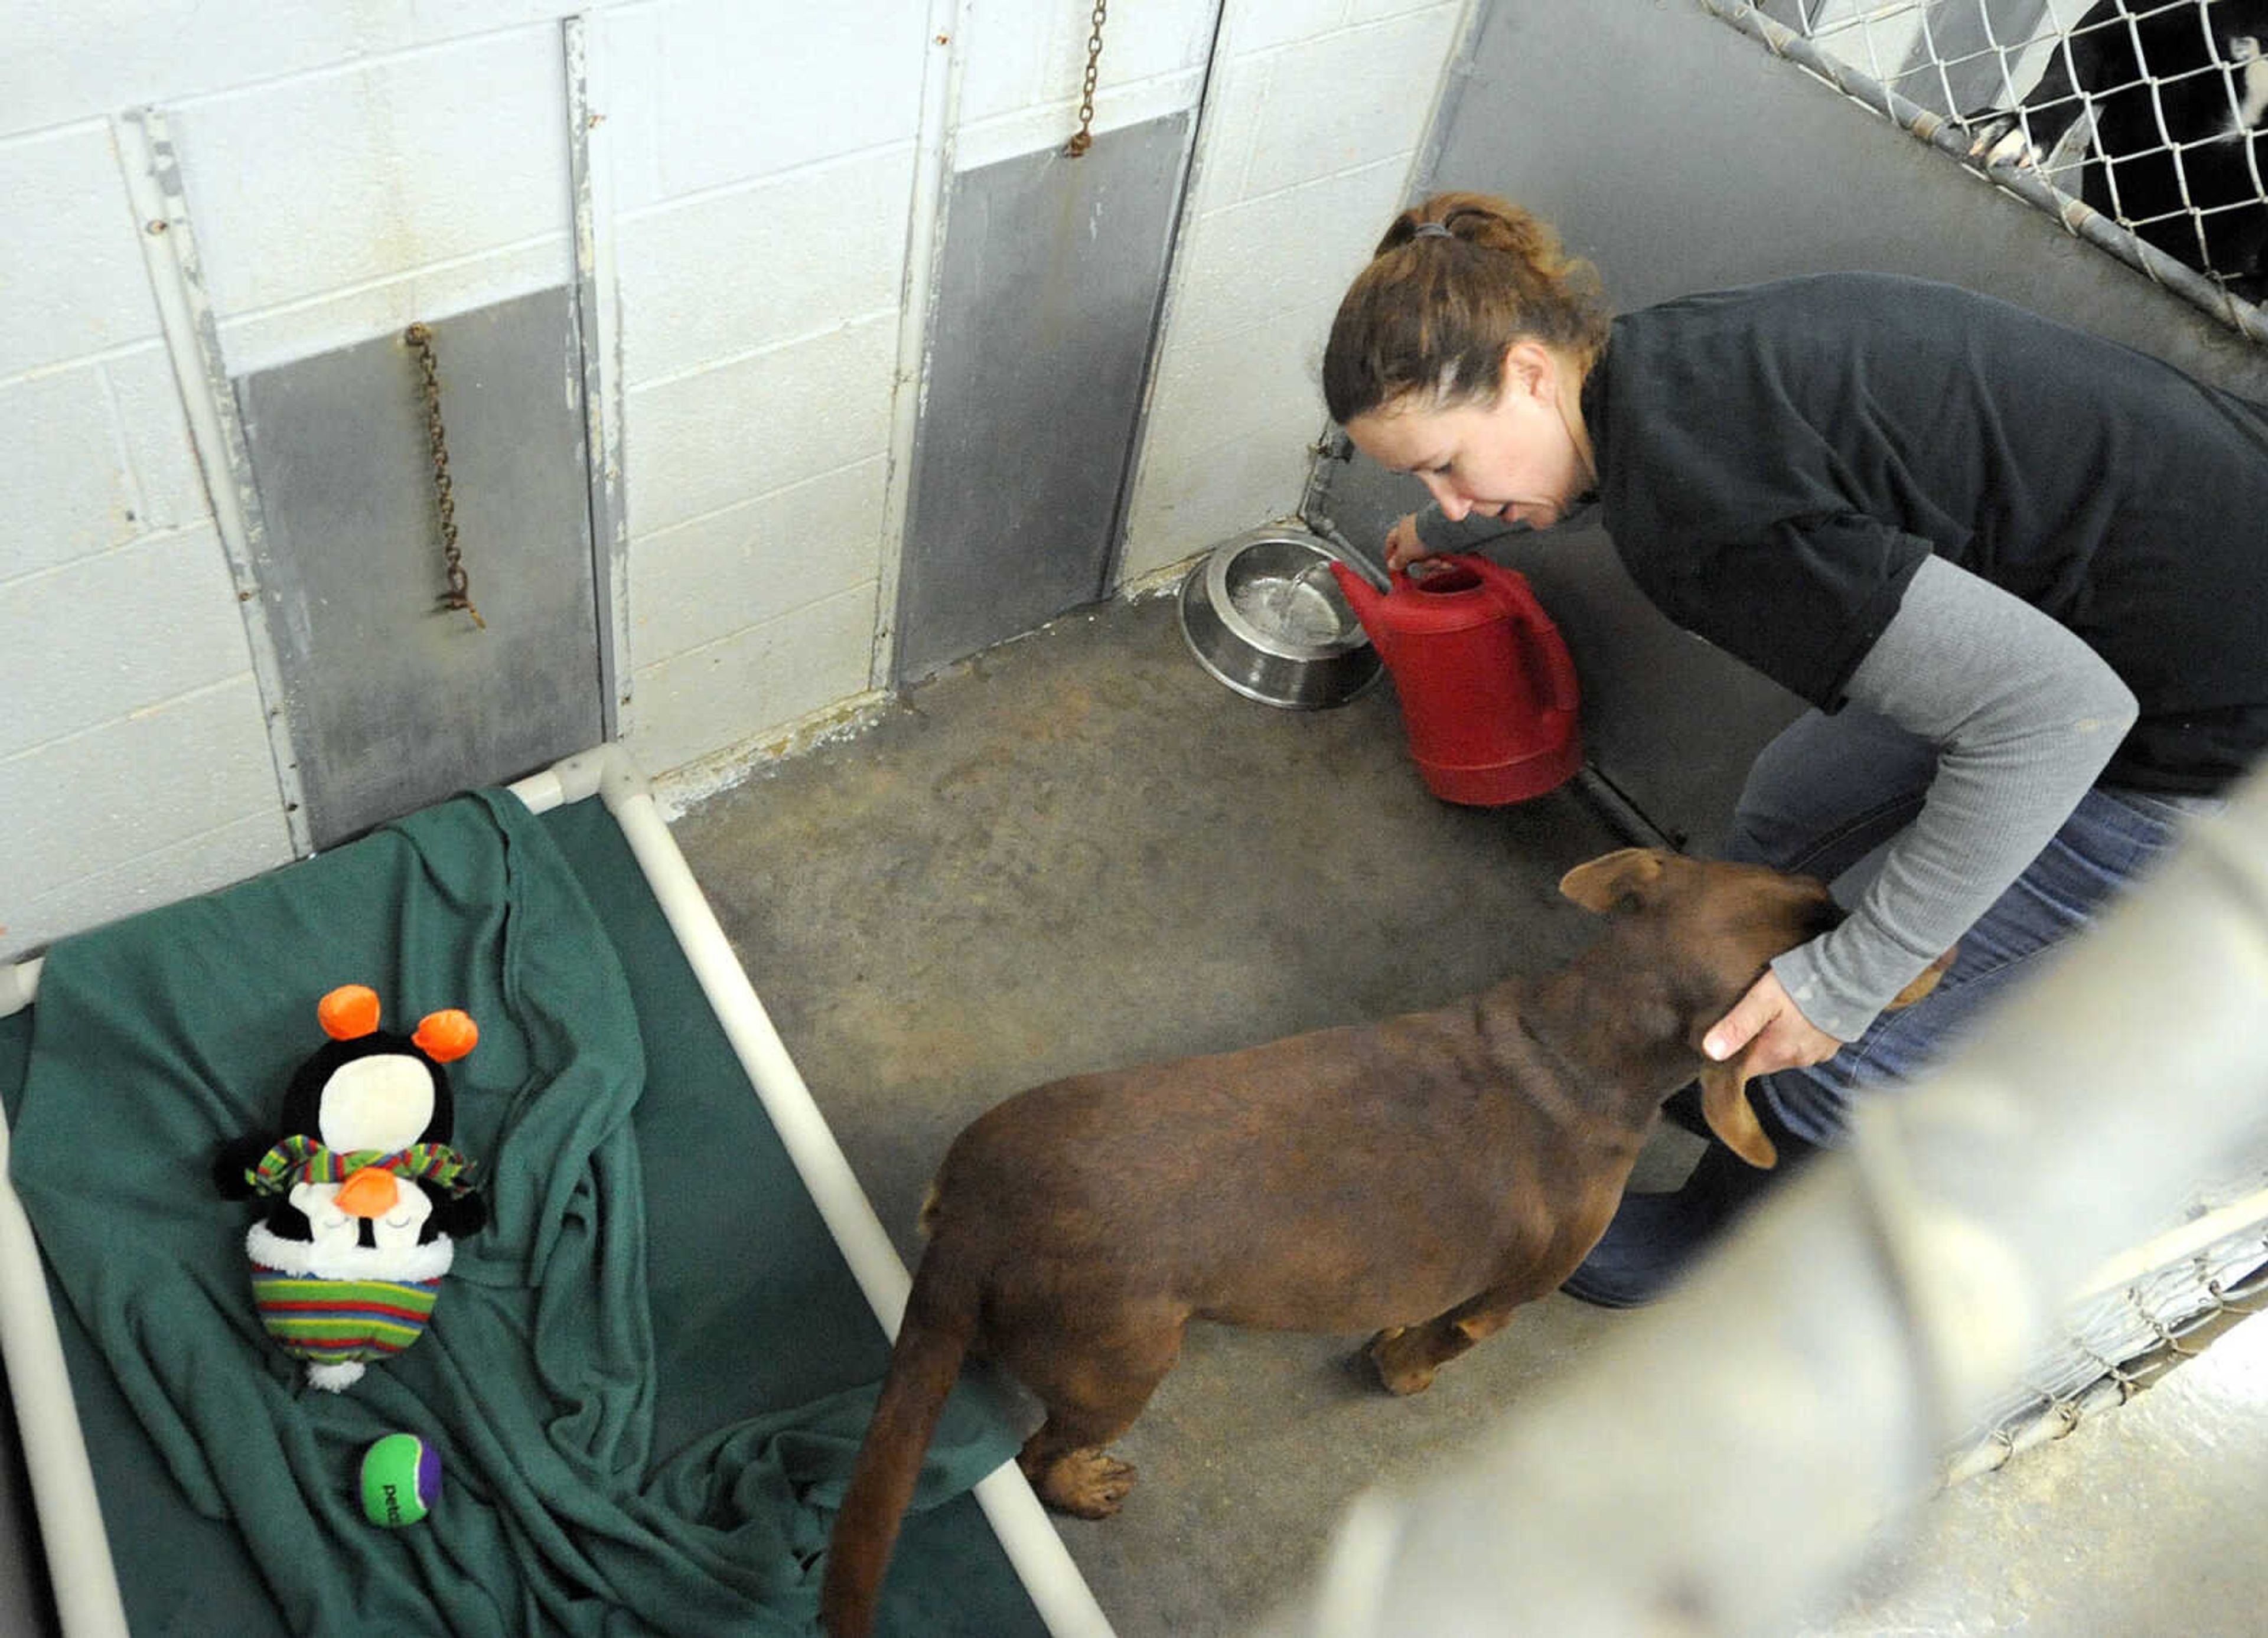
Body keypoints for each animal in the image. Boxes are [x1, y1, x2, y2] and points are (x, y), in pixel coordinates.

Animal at [816, 848, 1950, 1624]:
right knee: (1045, 1451)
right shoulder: (1506, 1297)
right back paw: (1086, 1482)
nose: (1938, 937)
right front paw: (1401, 1370)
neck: (1570, 1045)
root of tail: (976, 1214)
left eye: (1818, 889)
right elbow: (1441, 1340)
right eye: (1828, 923)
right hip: (1122, 1365)